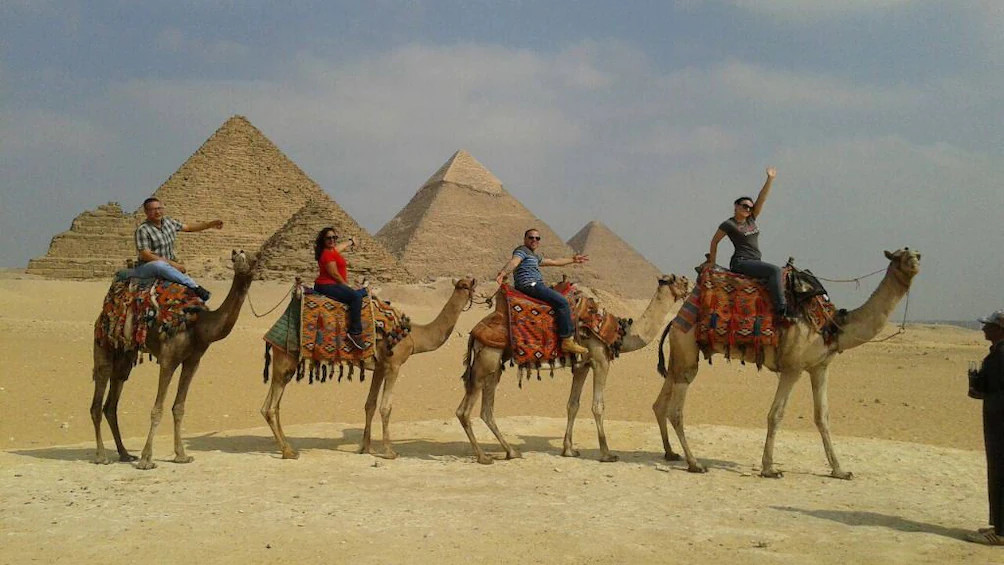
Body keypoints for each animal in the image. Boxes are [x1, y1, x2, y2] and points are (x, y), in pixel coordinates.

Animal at [90, 250, 257, 469]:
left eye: (255, 259)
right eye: (237, 257)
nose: (239, 259)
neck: (198, 325)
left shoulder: (193, 361)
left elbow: (179, 408)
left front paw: (181, 455)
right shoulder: (168, 359)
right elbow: (157, 409)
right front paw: (146, 459)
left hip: (125, 356)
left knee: (111, 404)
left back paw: (125, 454)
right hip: (103, 346)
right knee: (97, 399)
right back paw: (102, 456)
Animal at [259, 276, 477, 459]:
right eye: (466, 285)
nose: (475, 291)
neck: (415, 336)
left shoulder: (380, 367)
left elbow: (370, 405)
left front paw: (365, 448)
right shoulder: (393, 365)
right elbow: (386, 407)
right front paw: (389, 451)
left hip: (286, 364)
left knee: (273, 406)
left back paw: (287, 447)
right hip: (285, 360)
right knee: (269, 407)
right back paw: (288, 451)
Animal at [459, 274, 690, 463]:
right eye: (681, 281)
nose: (689, 291)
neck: (619, 333)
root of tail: (474, 332)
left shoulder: (582, 365)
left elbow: (573, 404)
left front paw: (568, 450)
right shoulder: (600, 360)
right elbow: (598, 406)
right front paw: (606, 454)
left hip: (494, 365)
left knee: (486, 410)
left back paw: (510, 451)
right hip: (487, 360)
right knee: (466, 410)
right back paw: (483, 457)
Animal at [654, 247, 919, 477]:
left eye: (917, 254)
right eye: (900, 256)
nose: (916, 262)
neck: (832, 326)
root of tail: (675, 320)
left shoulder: (820, 367)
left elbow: (822, 416)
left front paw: (840, 471)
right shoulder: (793, 367)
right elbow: (776, 414)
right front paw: (769, 469)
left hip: (679, 354)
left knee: (662, 402)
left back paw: (671, 453)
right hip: (687, 347)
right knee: (676, 409)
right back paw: (695, 464)